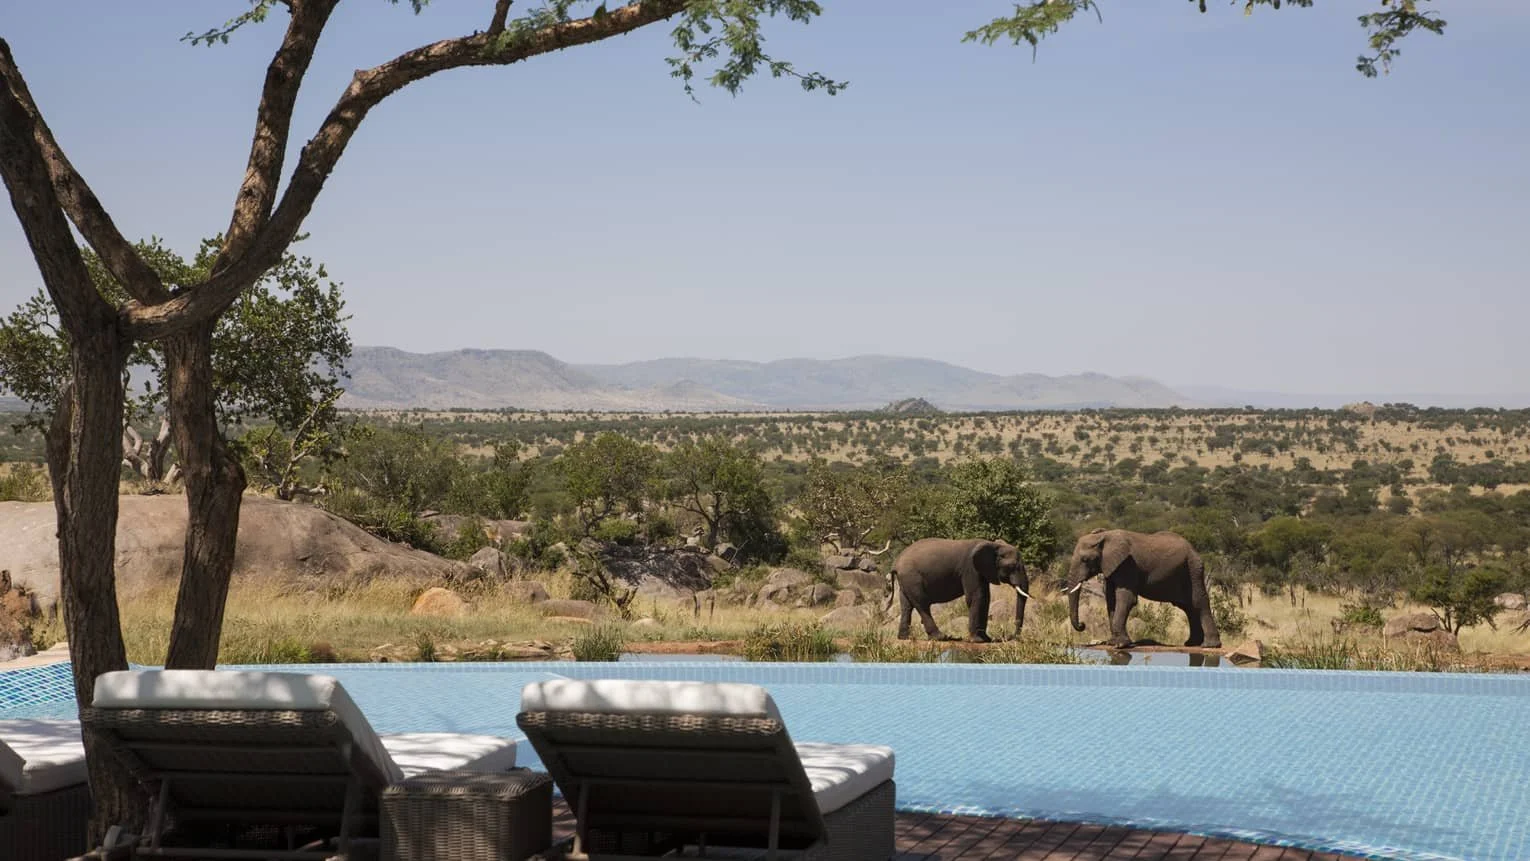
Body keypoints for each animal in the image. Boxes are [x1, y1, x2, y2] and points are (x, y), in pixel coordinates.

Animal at [886, 538, 1032, 643]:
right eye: (1012, 566)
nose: (1013, 636)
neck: (993, 545)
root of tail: (895, 563)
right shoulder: (970, 568)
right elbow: (977, 597)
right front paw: (978, 640)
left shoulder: (981, 571)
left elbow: (985, 598)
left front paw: (986, 639)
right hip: (912, 577)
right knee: (922, 604)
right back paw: (941, 637)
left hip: (905, 580)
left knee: (906, 606)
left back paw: (904, 638)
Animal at [1064, 528, 1221, 649]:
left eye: (1085, 560)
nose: (1082, 625)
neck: (1104, 536)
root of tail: (1193, 549)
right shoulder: (1111, 567)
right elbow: (1111, 599)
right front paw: (1112, 642)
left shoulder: (1127, 564)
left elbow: (1126, 598)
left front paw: (1121, 645)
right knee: (1188, 607)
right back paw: (1191, 644)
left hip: (1193, 568)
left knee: (1198, 602)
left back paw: (1210, 645)